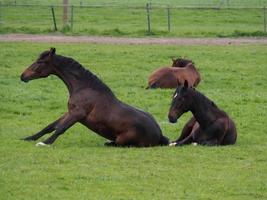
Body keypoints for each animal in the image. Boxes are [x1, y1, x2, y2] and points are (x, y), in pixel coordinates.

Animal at [20, 47, 170, 146]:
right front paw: (28, 138)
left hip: (122, 140)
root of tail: (159, 134)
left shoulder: (77, 114)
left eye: (40, 62)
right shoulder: (69, 112)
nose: (22, 76)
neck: (84, 88)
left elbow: (60, 128)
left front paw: (44, 143)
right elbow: (50, 126)